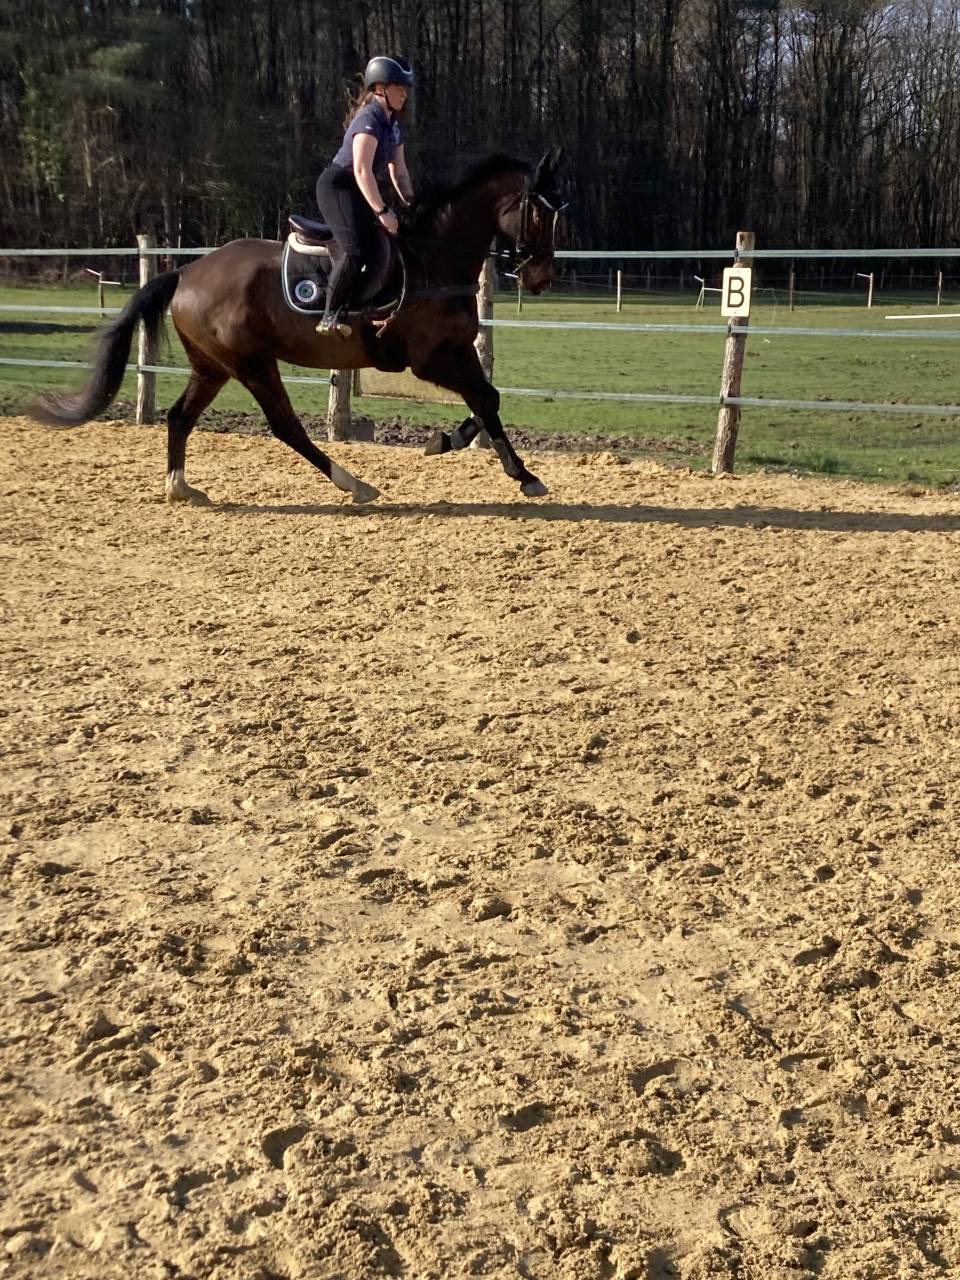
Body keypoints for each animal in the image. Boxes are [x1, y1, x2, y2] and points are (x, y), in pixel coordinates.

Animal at [33, 151, 567, 505]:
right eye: (542, 212)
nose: (542, 277)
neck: (434, 257)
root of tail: (186, 272)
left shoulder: (458, 349)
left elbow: (487, 399)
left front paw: (454, 443)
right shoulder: (430, 358)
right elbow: (486, 399)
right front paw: (521, 473)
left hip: (213, 366)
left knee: (180, 416)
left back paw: (180, 487)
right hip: (251, 363)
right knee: (284, 426)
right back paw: (354, 484)